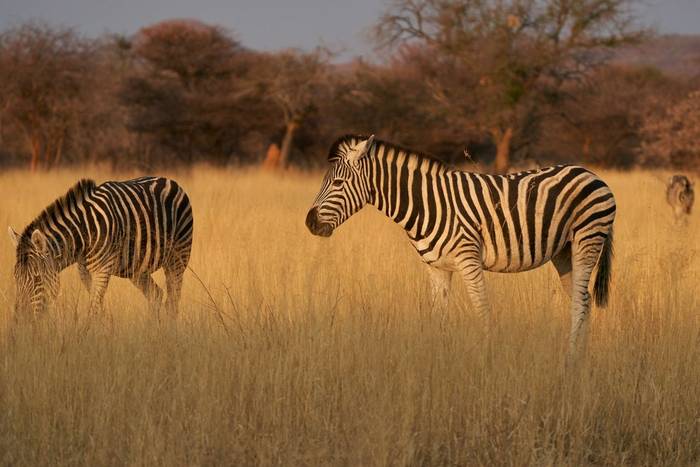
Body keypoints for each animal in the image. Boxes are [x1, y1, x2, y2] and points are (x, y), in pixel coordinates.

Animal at [8, 177, 193, 317]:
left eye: (37, 279)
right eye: (16, 278)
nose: (21, 319)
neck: (83, 232)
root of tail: (168, 180)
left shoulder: (103, 269)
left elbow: (94, 308)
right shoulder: (84, 270)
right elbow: (97, 306)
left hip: (178, 256)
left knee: (173, 300)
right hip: (137, 268)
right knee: (156, 296)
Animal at [306, 135, 616, 355]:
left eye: (337, 182)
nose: (310, 223)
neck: (427, 205)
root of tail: (591, 174)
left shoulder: (469, 261)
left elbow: (483, 313)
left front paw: (486, 361)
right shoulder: (436, 268)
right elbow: (438, 318)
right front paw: (439, 362)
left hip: (587, 238)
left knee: (579, 302)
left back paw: (570, 361)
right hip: (564, 252)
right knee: (583, 300)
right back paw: (581, 358)